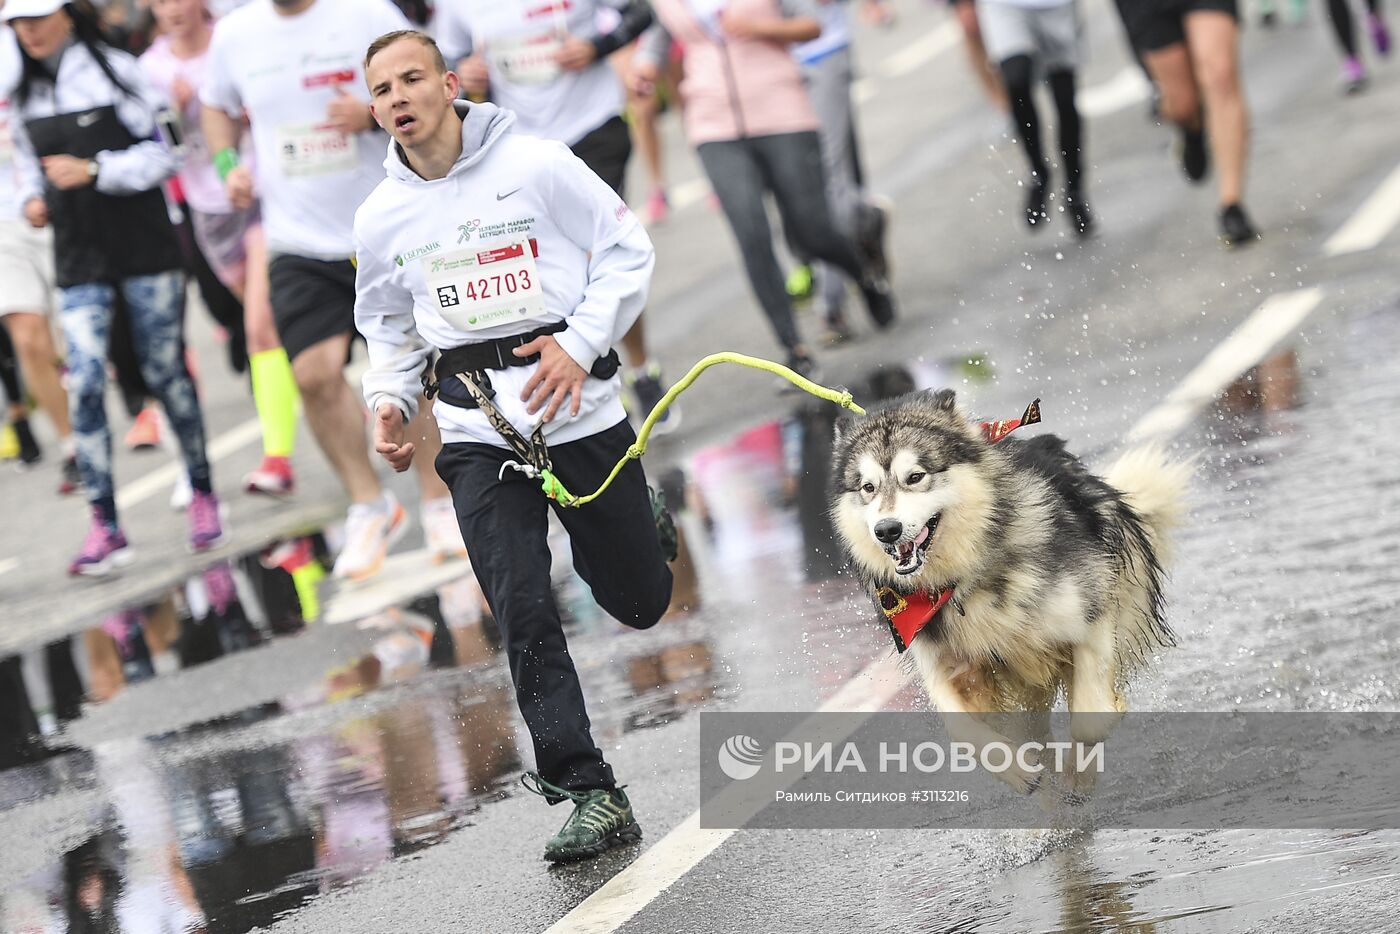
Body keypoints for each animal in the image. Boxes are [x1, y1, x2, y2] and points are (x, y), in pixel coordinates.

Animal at [828, 392, 1192, 795]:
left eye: (916, 477)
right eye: (868, 488)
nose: (886, 530)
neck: (963, 581)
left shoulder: (1091, 614)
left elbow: (1090, 720)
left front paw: (1081, 770)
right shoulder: (939, 658)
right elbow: (963, 730)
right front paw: (1018, 771)